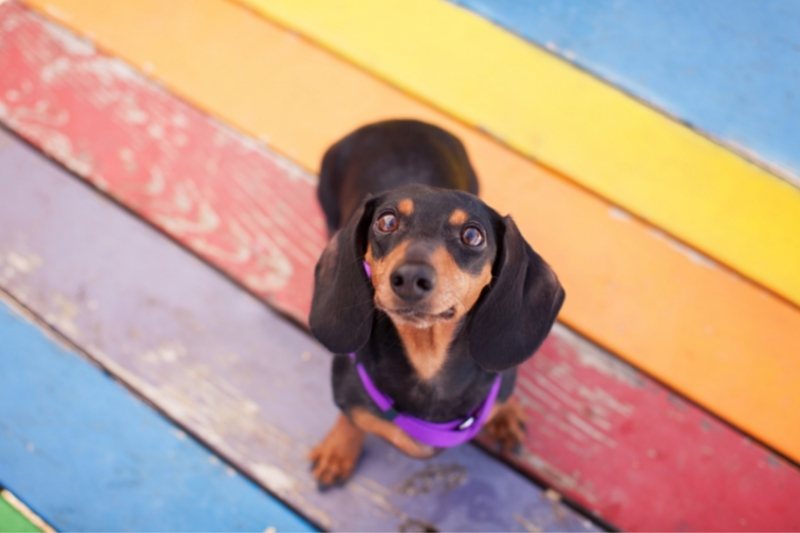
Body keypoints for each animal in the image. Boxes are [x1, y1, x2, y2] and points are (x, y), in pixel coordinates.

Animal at [306, 120, 564, 486]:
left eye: (473, 235)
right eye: (386, 221)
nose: (410, 278)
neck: (427, 359)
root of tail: (400, 121)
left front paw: (506, 411)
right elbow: (353, 418)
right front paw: (338, 449)